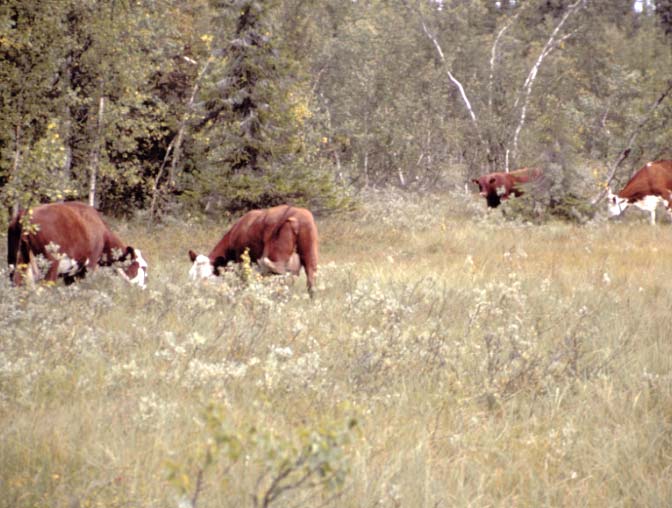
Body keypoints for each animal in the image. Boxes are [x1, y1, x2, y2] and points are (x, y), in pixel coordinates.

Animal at [8, 201, 147, 288]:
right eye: (140, 267)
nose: (142, 288)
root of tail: (24, 214)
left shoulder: (72, 273)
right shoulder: (90, 265)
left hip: (17, 260)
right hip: (51, 264)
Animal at [186, 204, 318, 296]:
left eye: (205, 278)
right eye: (191, 276)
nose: (195, 292)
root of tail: (295, 211)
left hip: (276, 257)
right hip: (309, 254)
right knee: (311, 279)